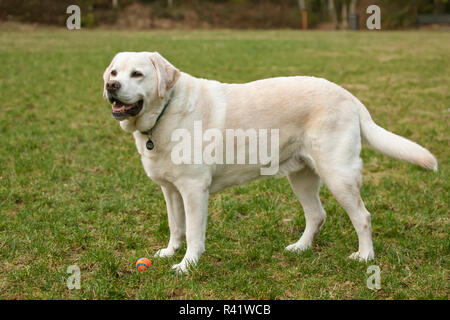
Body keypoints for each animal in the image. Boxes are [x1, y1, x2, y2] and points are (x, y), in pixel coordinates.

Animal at [103, 51, 436, 274]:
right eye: (114, 73)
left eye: (137, 74)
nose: (111, 87)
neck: (164, 113)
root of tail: (348, 95)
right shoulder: (171, 190)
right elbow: (176, 226)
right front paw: (171, 252)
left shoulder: (194, 189)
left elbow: (194, 233)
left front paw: (187, 265)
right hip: (302, 176)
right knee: (317, 215)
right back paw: (300, 248)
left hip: (338, 174)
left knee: (362, 217)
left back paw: (365, 256)